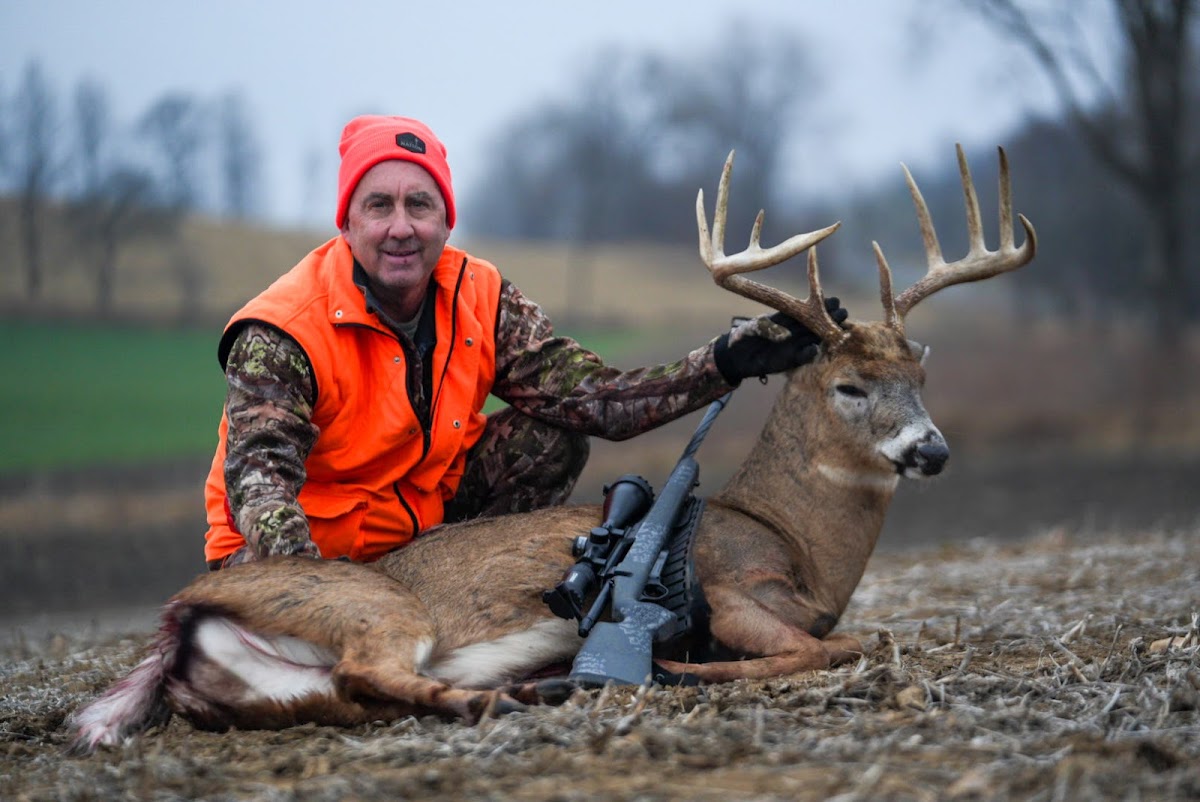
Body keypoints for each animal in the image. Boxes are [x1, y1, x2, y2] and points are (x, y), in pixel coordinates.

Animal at [69, 144, 1036, 755]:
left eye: (920, 374)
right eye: (850, 387)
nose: (932, 449)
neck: (799, 544)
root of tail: (180, 616)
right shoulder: (729, 589)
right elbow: (841, 645)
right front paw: (691, 668)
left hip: (285, 690)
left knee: (353, 691)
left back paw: (529, 689)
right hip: (379, 608)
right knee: (371, 666)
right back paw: (517, 692)